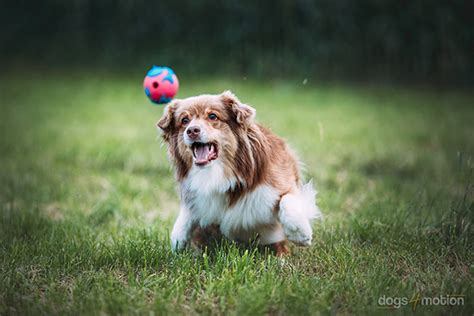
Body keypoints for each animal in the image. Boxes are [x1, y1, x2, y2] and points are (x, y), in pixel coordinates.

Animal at [157, 90, 320, 256]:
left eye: (213, 116)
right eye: (184, 120)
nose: (191, 131)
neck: (218, 175)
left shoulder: (281, 183)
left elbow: (287, 199)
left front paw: (300, 233)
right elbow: (188, 212)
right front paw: (177, 239)